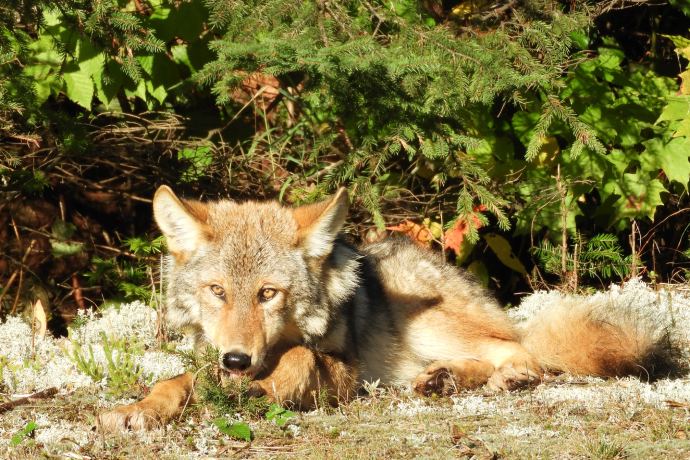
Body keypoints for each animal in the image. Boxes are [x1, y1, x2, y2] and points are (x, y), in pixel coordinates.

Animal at [99, 186, 676, 432]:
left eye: (268, 294)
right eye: (218, 291)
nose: (238, 361)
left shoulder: (345, 371)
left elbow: (299, 360)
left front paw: (264, 388)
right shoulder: (209, 361)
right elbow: (174, 381)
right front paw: (136, 410)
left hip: (423, 319)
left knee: (521, 351)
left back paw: (504, 378)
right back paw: (441, 380)